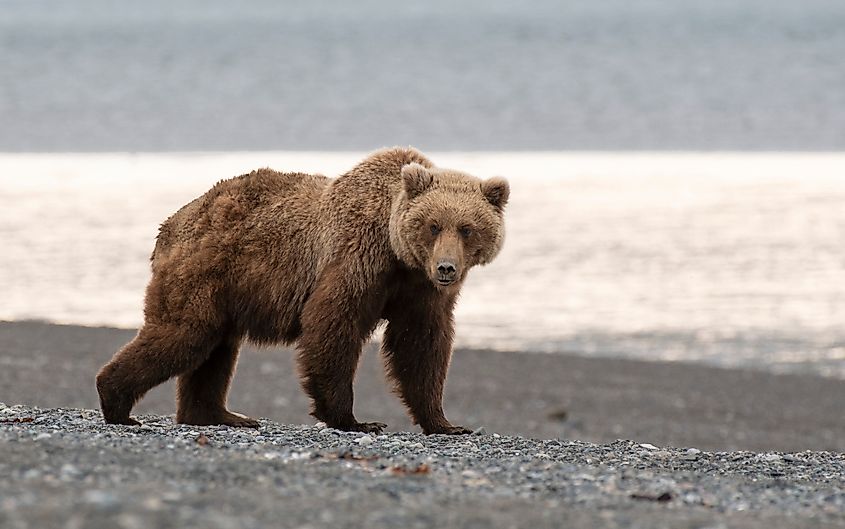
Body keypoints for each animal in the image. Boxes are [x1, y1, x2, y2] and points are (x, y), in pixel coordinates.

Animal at [95, 147, 509, 435]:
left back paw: (221, 415)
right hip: (203, 272)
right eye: (433, 225)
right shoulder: (356, 258)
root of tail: (171, 223)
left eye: (467, 228)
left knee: (216, 349)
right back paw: (116, 403)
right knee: (184, 335)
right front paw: (353, 419)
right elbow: (333, 324)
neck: (397, 253)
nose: (447, 268)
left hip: (225, 290)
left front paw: (446, 423)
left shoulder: (418, 289)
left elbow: (421, 344)